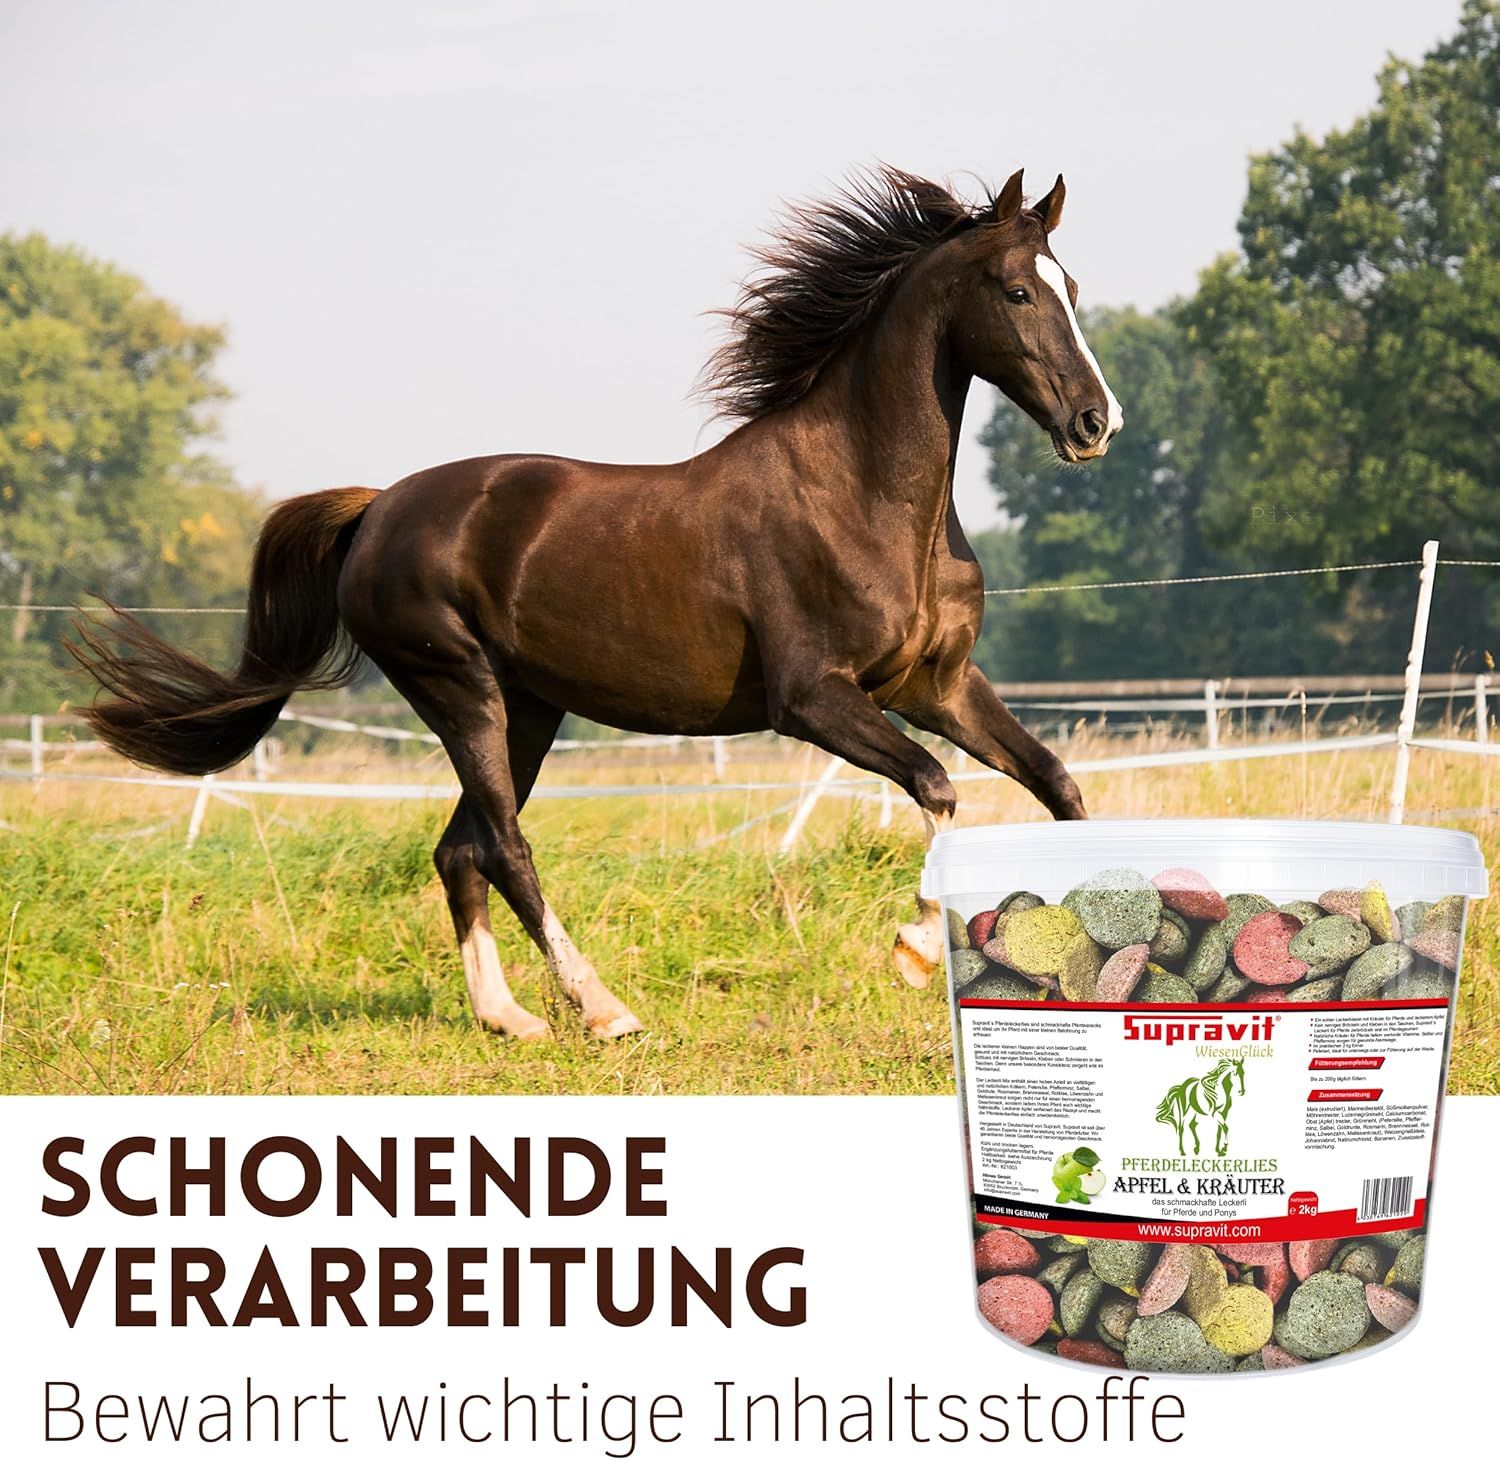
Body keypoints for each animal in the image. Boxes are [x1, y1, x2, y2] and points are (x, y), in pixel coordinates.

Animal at [68, 165, 1122, 1042]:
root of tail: (376, 511)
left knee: (459, 851)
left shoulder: (936, 686)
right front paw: (910, 949)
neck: (862, 495)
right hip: (460, 691)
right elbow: (938, 786)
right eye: (1018, 290)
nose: (1095, 423)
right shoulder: (813, 699)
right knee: (505, 848)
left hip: (527, 709)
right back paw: (603, 1010)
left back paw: (508, 1018)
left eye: (1073, 288)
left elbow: (1058, 786)